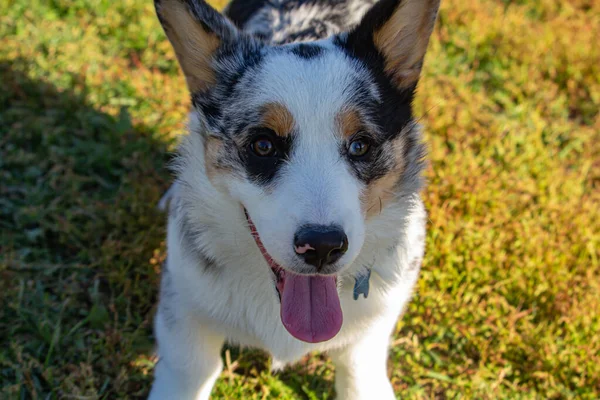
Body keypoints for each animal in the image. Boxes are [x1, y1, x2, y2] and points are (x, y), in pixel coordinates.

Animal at [150, 0, 440, 398]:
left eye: (360, 145)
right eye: (263, 145)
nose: (322, 246)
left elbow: (358, 372)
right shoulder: (184, 313)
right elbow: (188, 369)